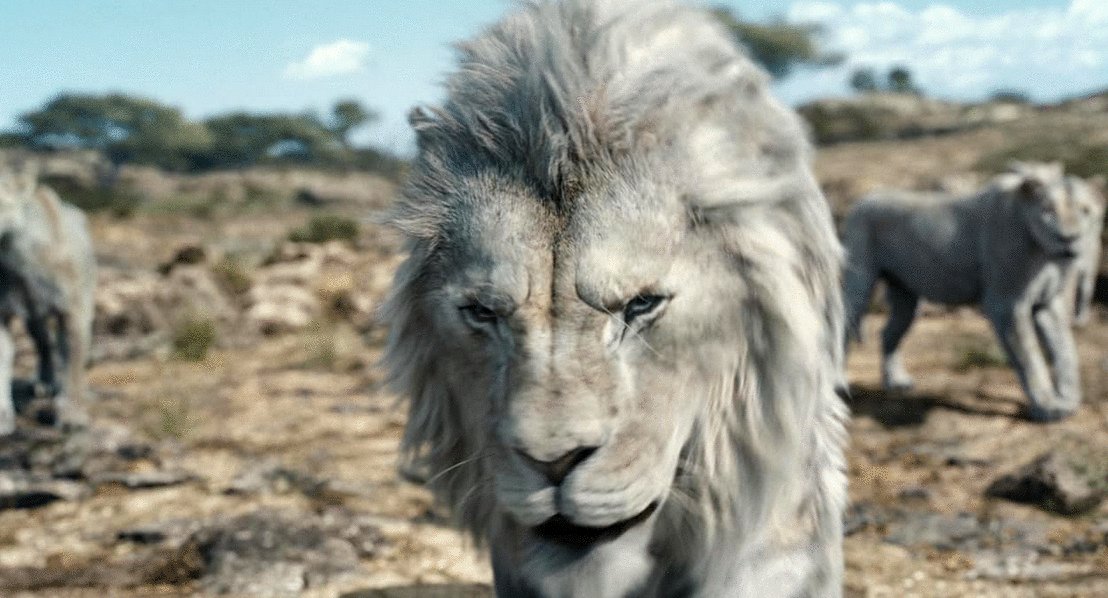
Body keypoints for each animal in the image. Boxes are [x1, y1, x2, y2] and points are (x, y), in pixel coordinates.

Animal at [0, 161, 96, 435]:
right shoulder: (4, 310)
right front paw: (3, 419)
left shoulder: (75, 311)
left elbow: (73, 361)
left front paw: (73, 416)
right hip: (33, 317)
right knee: (44, 344)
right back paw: (44, 382)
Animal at [841, 162, 1094, 422]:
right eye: (1048, 210)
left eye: (1086, 210)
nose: (1070, 239)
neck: (1044, 253)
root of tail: (863, 200)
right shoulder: (1006, 304)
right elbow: (1029, 357)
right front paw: (1047, 407)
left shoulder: (1047, 302)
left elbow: (1065, 350)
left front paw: (1069, 400)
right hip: (860, 280)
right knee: (843, 325)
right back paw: (838, 384)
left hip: (906, 299)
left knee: (888, 333)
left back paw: (896, 382)